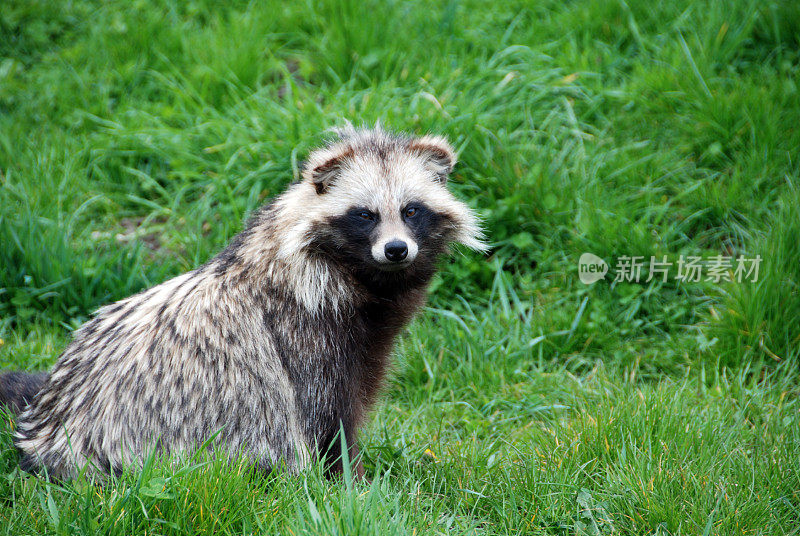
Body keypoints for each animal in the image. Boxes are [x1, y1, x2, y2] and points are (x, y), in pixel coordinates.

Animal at [0, 126, 488, 482]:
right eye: (364, 214)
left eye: (411, 210)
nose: (396, 250)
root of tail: (47, 428)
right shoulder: (305, 337)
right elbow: (323, 420)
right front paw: (352, 480)